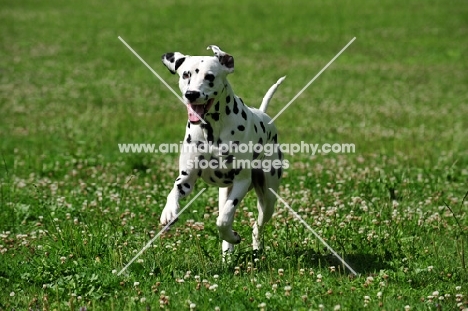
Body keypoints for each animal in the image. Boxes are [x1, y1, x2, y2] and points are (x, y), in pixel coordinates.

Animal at [160, 45, 286, 255]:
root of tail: (263, 115)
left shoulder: (241, 182)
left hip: (267, 198)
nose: (191, 94)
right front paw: (169, 212)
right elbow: (175, 191)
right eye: (186, 74)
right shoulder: (186, 179)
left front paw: (233, 236)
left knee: (257, 225)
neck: (212, 130)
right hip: (224, 193)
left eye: (210, 76)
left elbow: (223, 220)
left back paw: (254, 246)